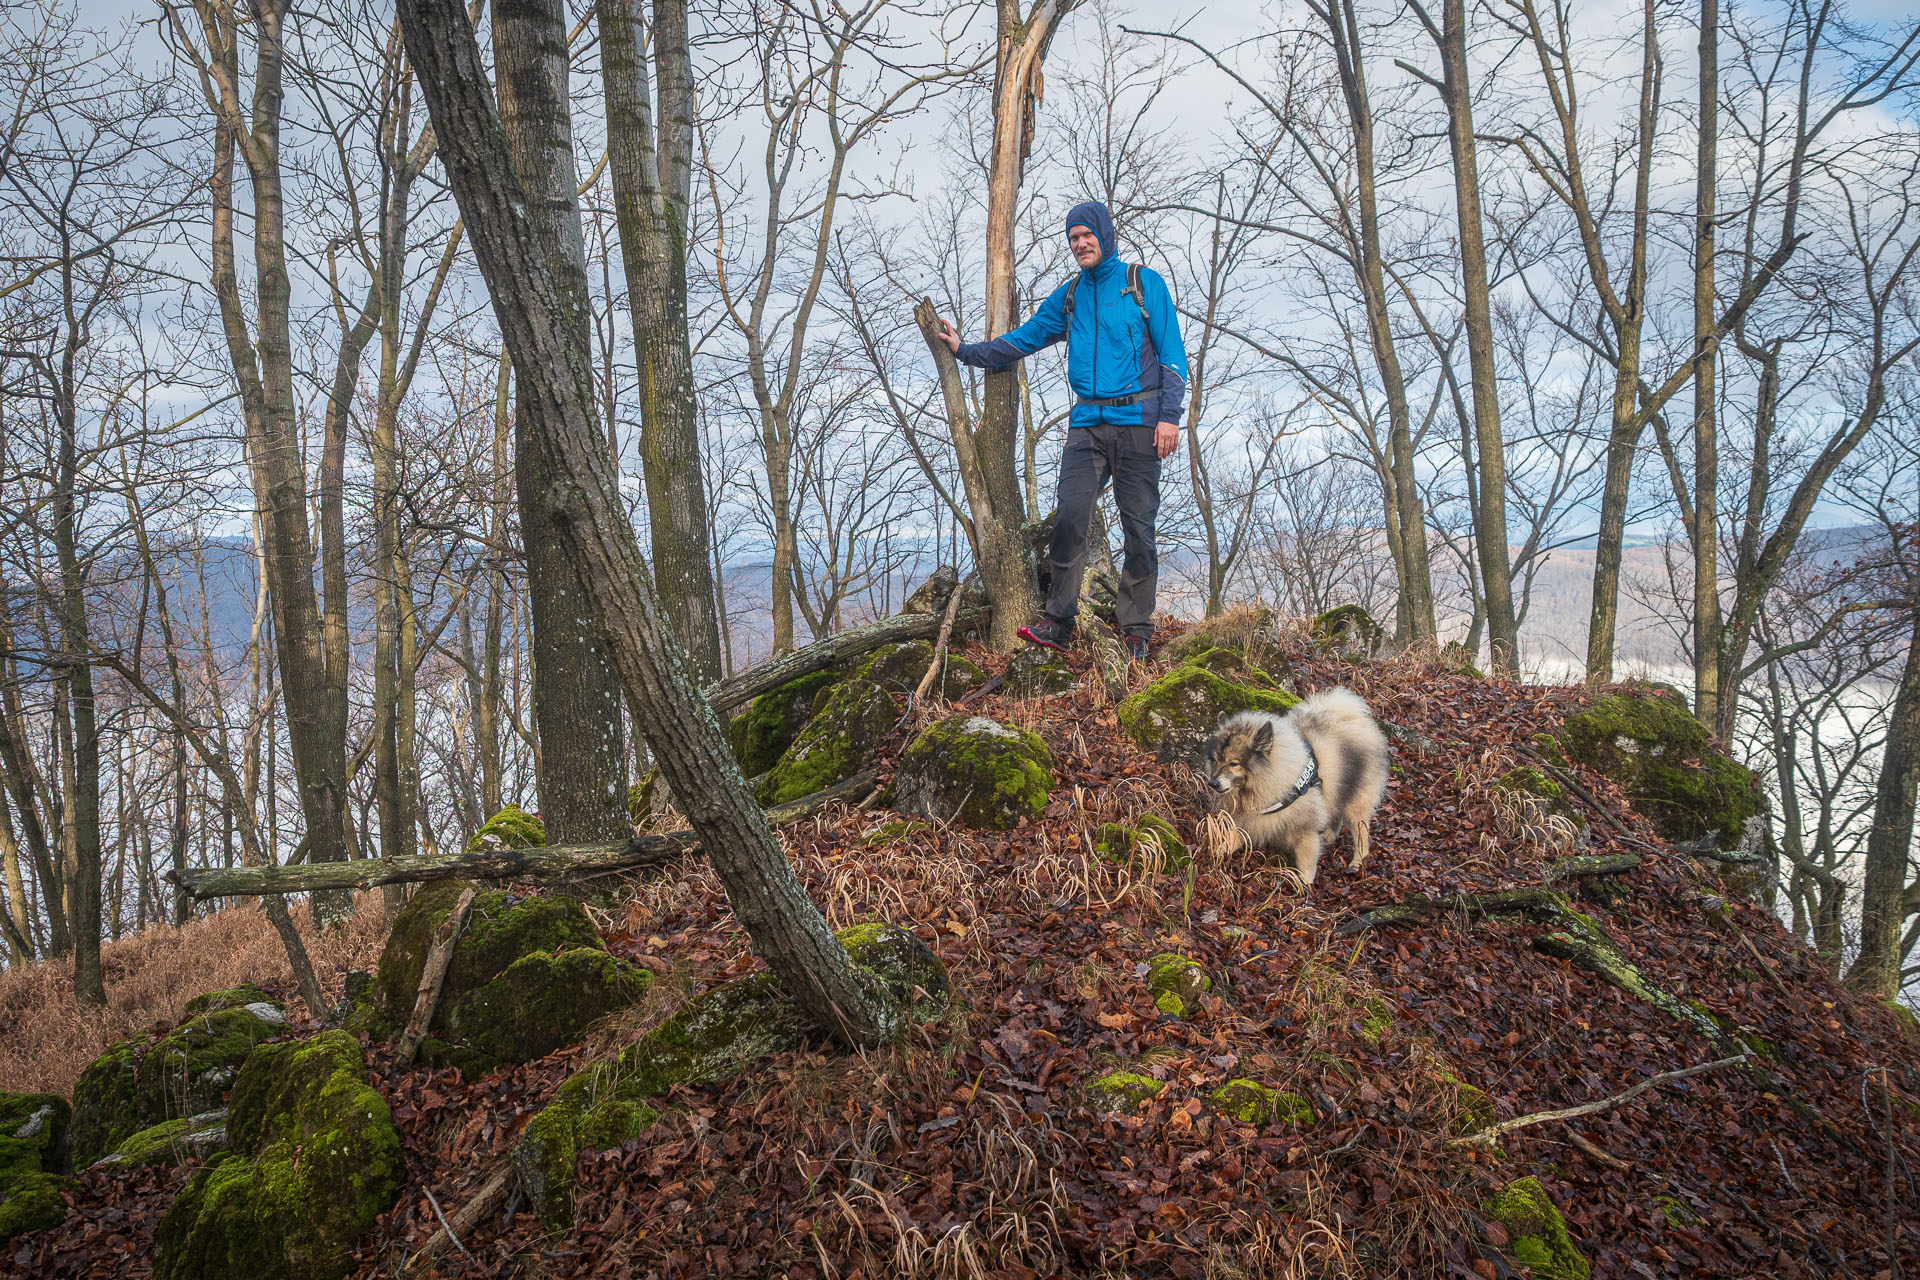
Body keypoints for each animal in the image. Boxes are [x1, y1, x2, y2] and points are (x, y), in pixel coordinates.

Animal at [1205, 687, 1390, 886]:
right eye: (1215, 760)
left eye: (1233, 763)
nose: (1212, 783)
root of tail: (1353, 718)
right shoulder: (1250, 818)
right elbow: (1235, 835)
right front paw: (1220, 849)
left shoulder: (1305, 829)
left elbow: (1306, 858)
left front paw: (1305, 882)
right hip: (1337, 790)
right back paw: (1329, 835)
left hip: (1356, 802)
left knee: (1360, 832)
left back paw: (1357, 862)